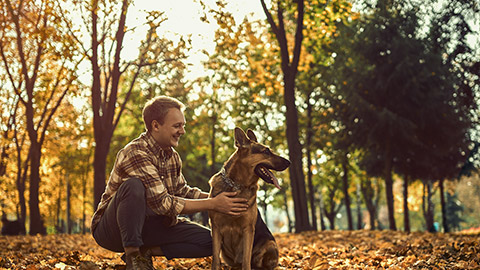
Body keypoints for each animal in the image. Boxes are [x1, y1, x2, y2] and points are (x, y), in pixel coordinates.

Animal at [208, 127, 290, 270]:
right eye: (266, 151)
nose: (289, 162)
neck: (238, 185)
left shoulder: (248, 229)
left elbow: (246, 261)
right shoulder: (216, 228)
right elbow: (215, 260)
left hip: (270, 244)